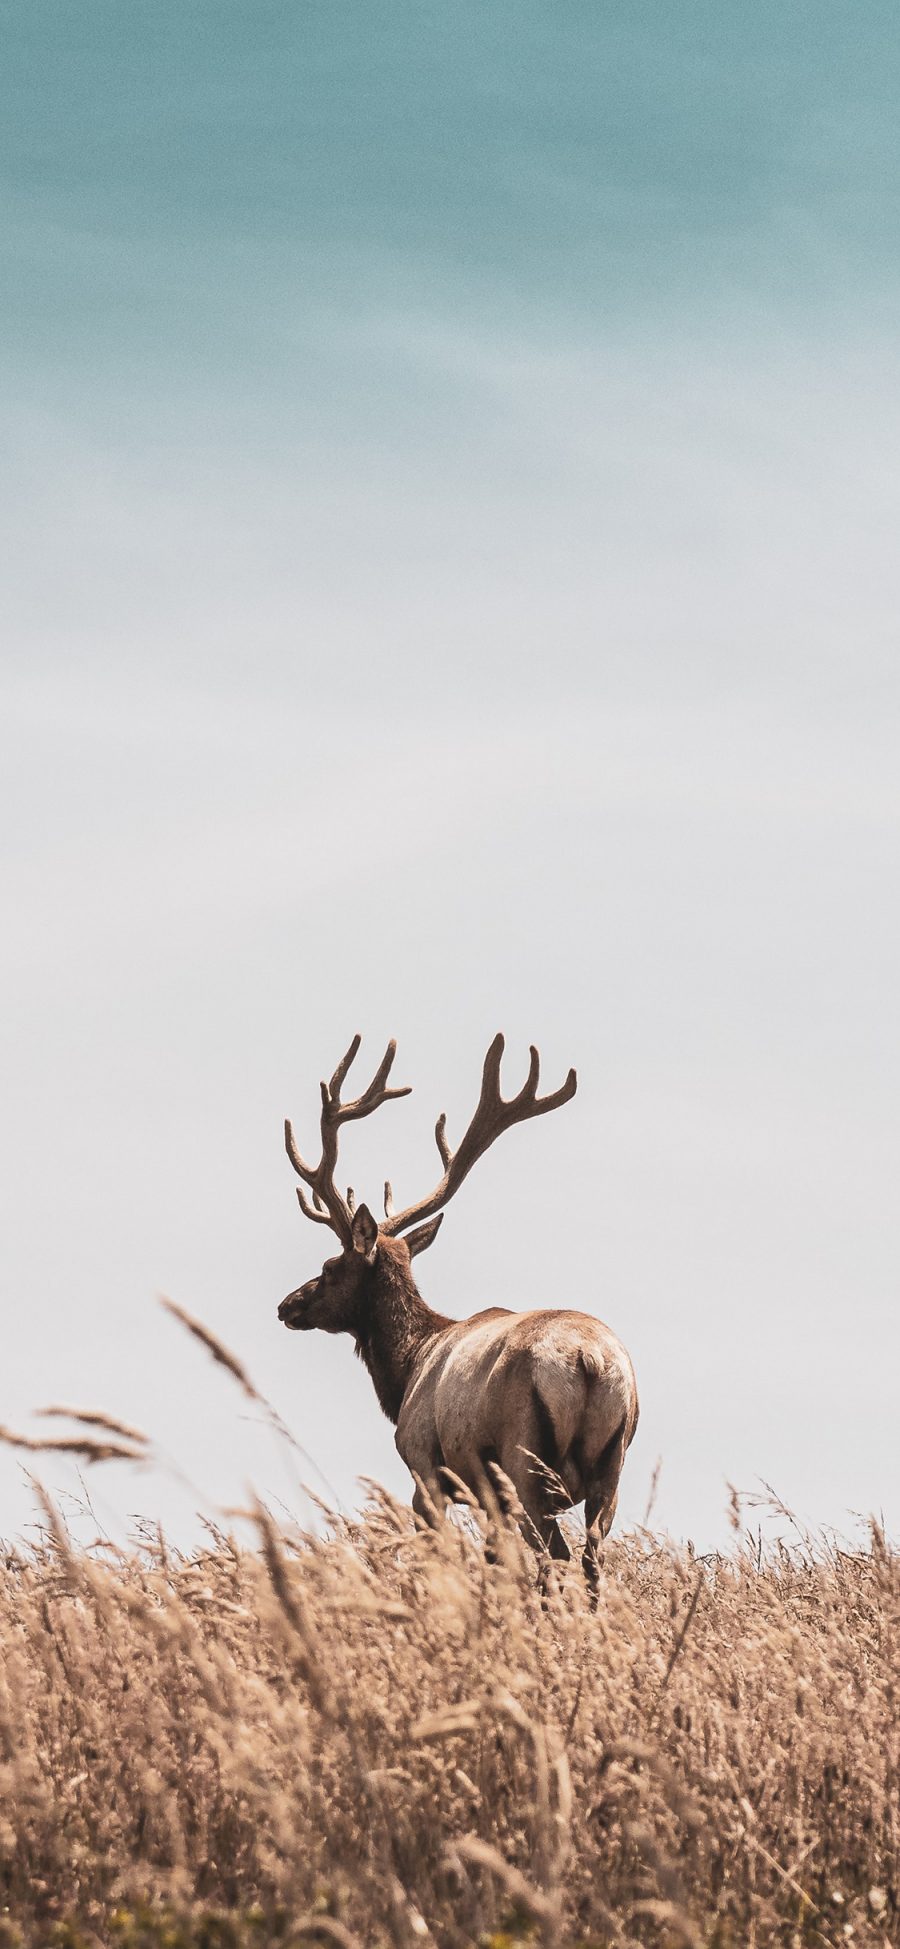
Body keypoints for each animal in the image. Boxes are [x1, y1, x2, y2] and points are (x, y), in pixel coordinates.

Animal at [278, 1036, 635, 1582]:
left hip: (523, 1458)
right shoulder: (486, 1497)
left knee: (554, 1554)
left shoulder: (423, 1462)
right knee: (593, 1556)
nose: (287, 1305)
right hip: (612, 1463)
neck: (406, 1370)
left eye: (330, 1265)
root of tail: (589, 1360)